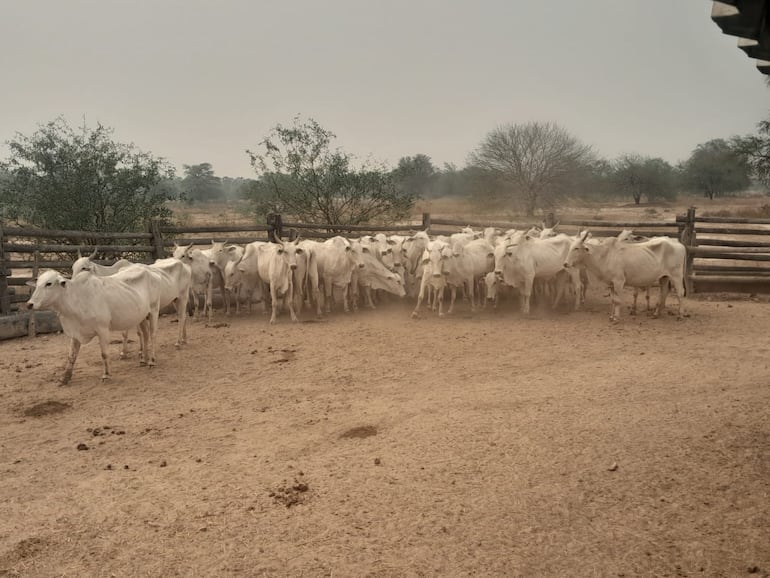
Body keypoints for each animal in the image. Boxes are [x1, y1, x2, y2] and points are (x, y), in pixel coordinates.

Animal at [25, 266, 160, 382]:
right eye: (37, 284)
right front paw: (65, 377)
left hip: (154, 311)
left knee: (153, 335)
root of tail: (151, 272)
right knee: (145, 335)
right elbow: (71, 356)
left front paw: (106, 374)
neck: (76, 298)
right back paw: (143, 360)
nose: (30, 304)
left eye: (49, 283)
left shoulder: (103, 330)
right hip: (141, 317)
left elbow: (104, 354)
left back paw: (152, 361)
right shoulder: (75, 333)